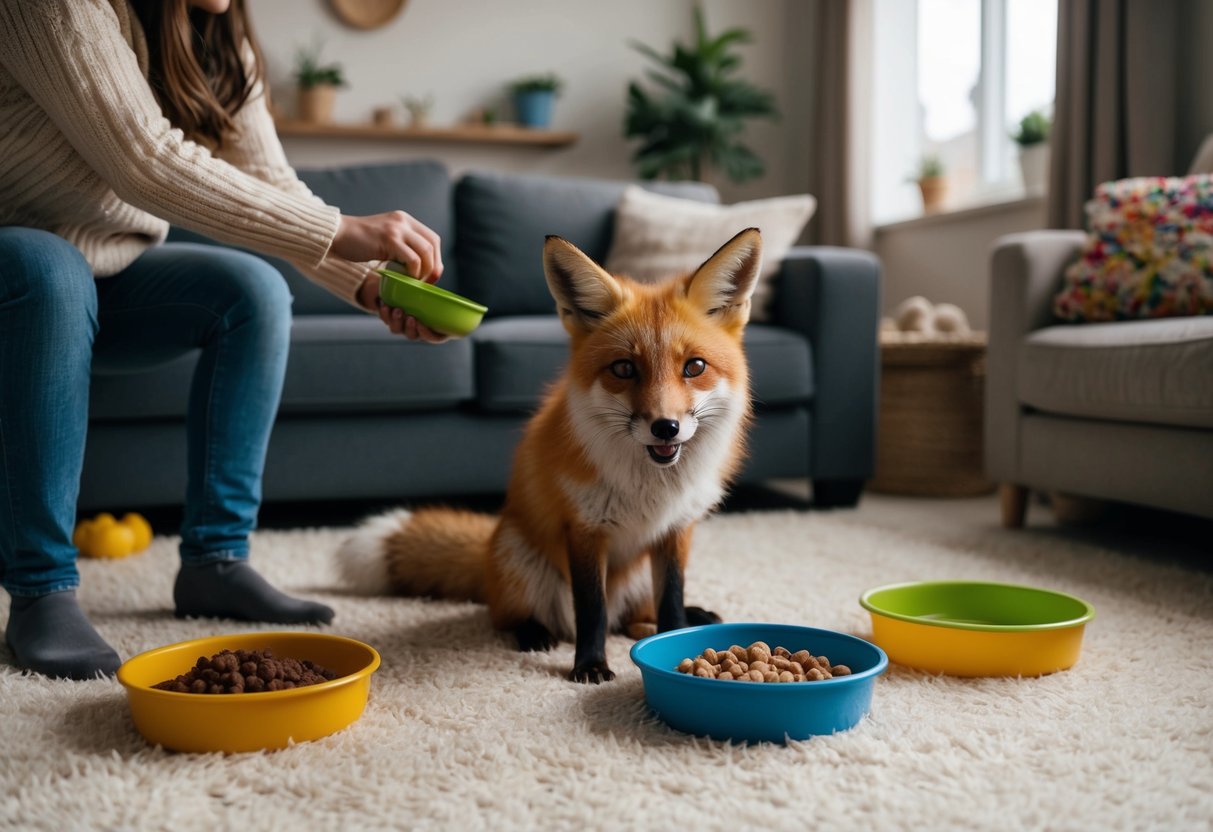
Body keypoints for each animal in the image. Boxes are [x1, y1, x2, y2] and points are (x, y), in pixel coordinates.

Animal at [340, 227, 762, 683]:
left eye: (694, 367)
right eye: (624, 369)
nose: (665, 427)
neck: (651, 486)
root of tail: (488, 557)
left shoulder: (676, 530)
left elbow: (671, 600)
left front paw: (674, 638)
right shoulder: (584, 528)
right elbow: (591, 611)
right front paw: (590, 665)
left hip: (633, 579)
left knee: (634, 619)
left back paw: (686, 616)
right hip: (522, 562)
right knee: (516, 618)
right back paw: (533, 634)